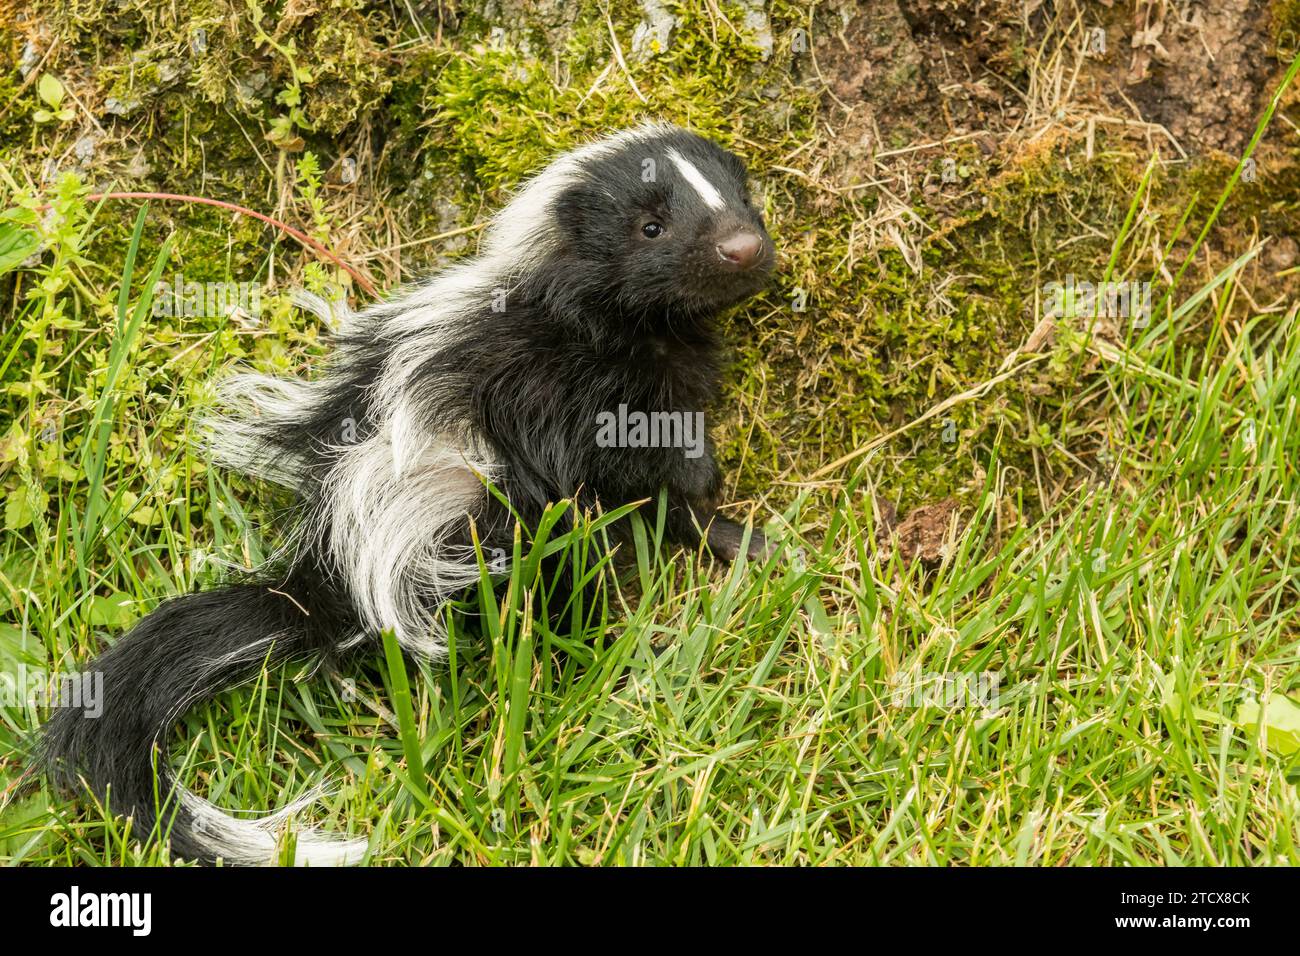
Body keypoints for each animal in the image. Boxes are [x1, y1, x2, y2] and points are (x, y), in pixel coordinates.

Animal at [43, 121, 769, 868]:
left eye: (744, 198)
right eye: (651, 228)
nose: (744, 247)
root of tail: (319, 583)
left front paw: (733, 531)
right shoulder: (570, 391)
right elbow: (649, 463)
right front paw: (720, 513)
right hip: (470, 515)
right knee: (557, 565)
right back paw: (591, 653)